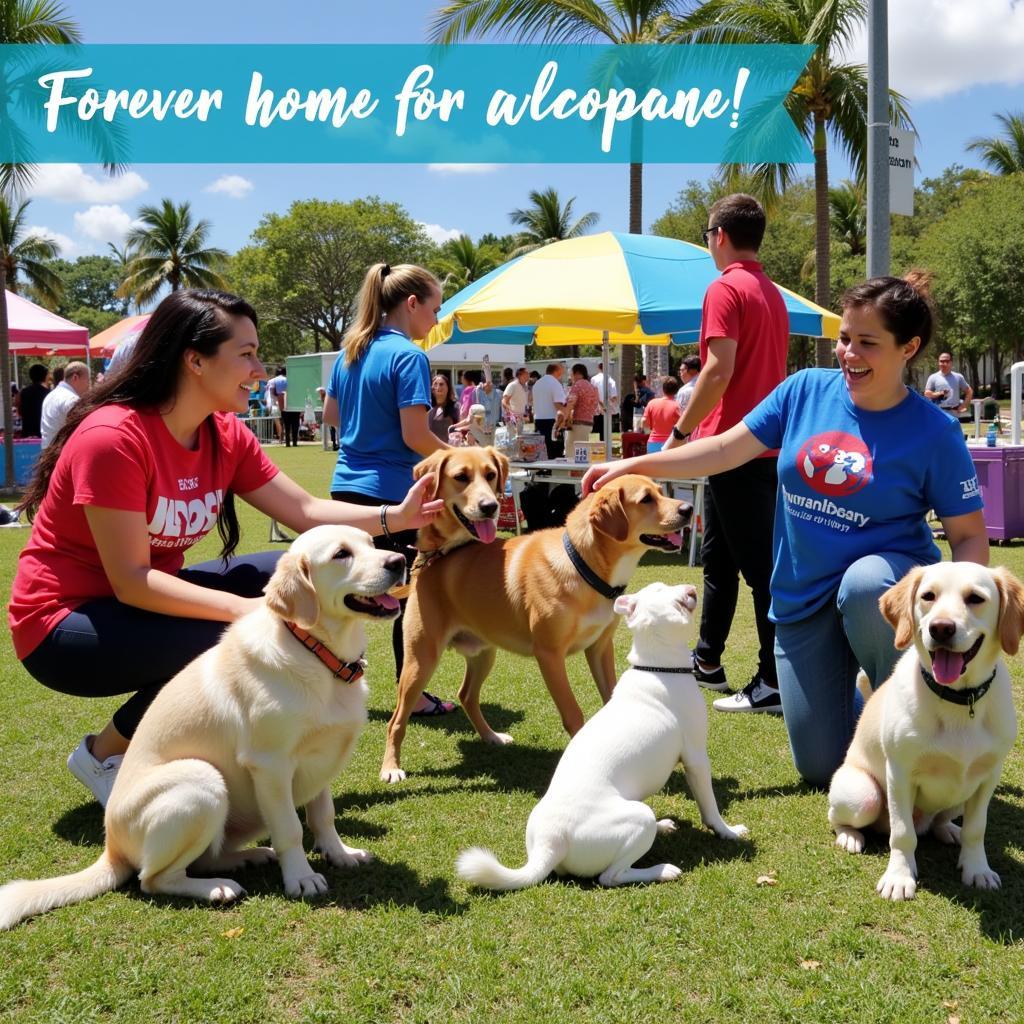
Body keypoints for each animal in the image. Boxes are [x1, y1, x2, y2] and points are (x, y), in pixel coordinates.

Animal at [382, 471, 688, 782]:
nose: (687, 509)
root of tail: (430, 561)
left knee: (466, 695)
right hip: (421, 660)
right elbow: (573, 713)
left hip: (484, 654)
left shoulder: (600, 648)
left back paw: (491, 736)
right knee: (397, 720)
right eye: (646, 499)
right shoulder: (550, 656)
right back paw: (391, 767)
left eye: (661, 491)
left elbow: (611, 697)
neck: (582, 565)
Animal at [456, 585, 745, 888]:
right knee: (611, 876)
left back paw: (662, 827)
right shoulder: (696, 758)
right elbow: (710, 806)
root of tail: (551, 843)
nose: (691, 588)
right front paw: (728, 831)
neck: (657, 667)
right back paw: (662, 869)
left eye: (662, 586)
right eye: (675, 599)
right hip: (638, 820)